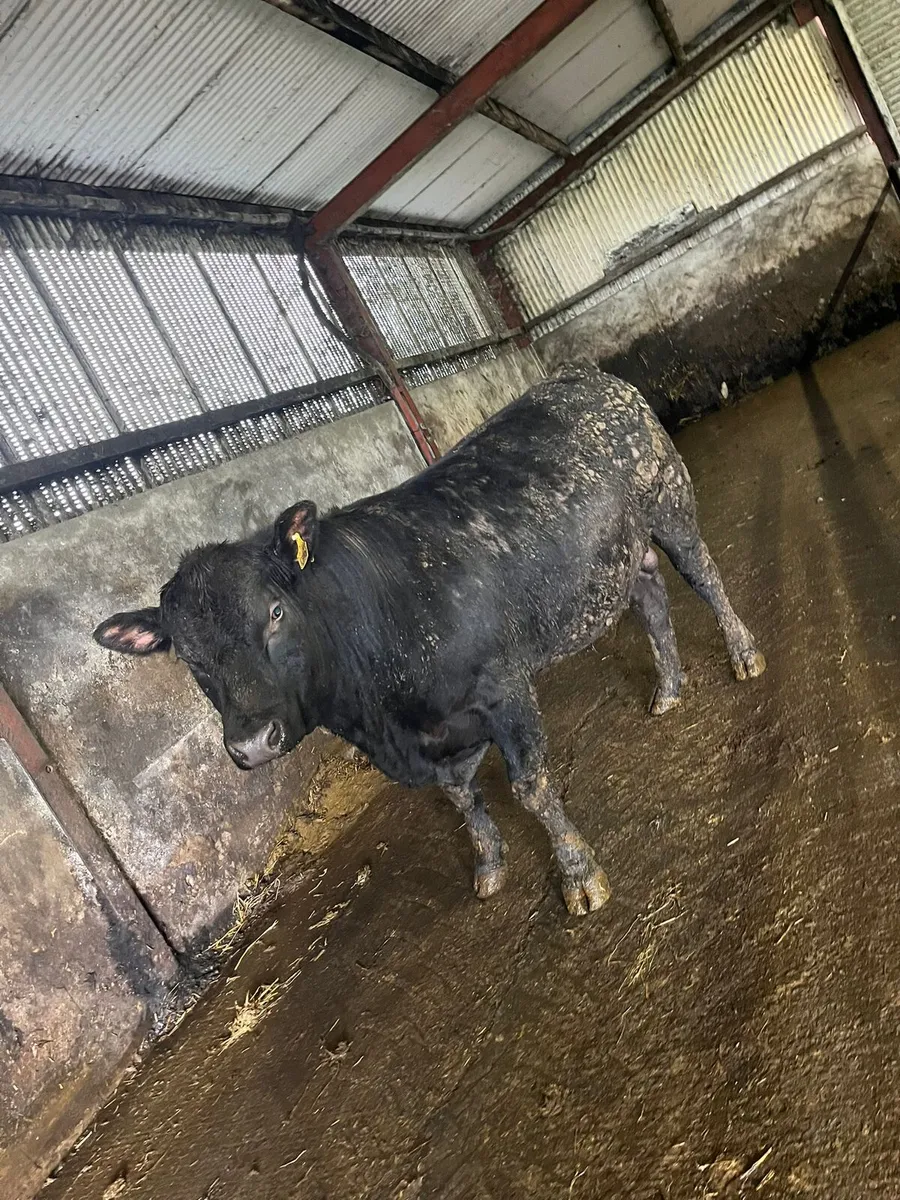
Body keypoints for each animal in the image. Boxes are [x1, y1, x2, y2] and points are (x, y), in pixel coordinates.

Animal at [94, 367, 765, 916]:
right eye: (189, 658)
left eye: (275, 612)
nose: (251, 744)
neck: (386, 720)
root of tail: (582, 376)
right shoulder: (436, 740)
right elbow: (462, 800)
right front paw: (489, 866)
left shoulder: (502, 687)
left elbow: (531, 788)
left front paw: (578, 876)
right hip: (622, 551)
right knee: (649, 595)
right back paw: (669, 687)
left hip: (671, 505)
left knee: (704, 577)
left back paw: (743, 655)